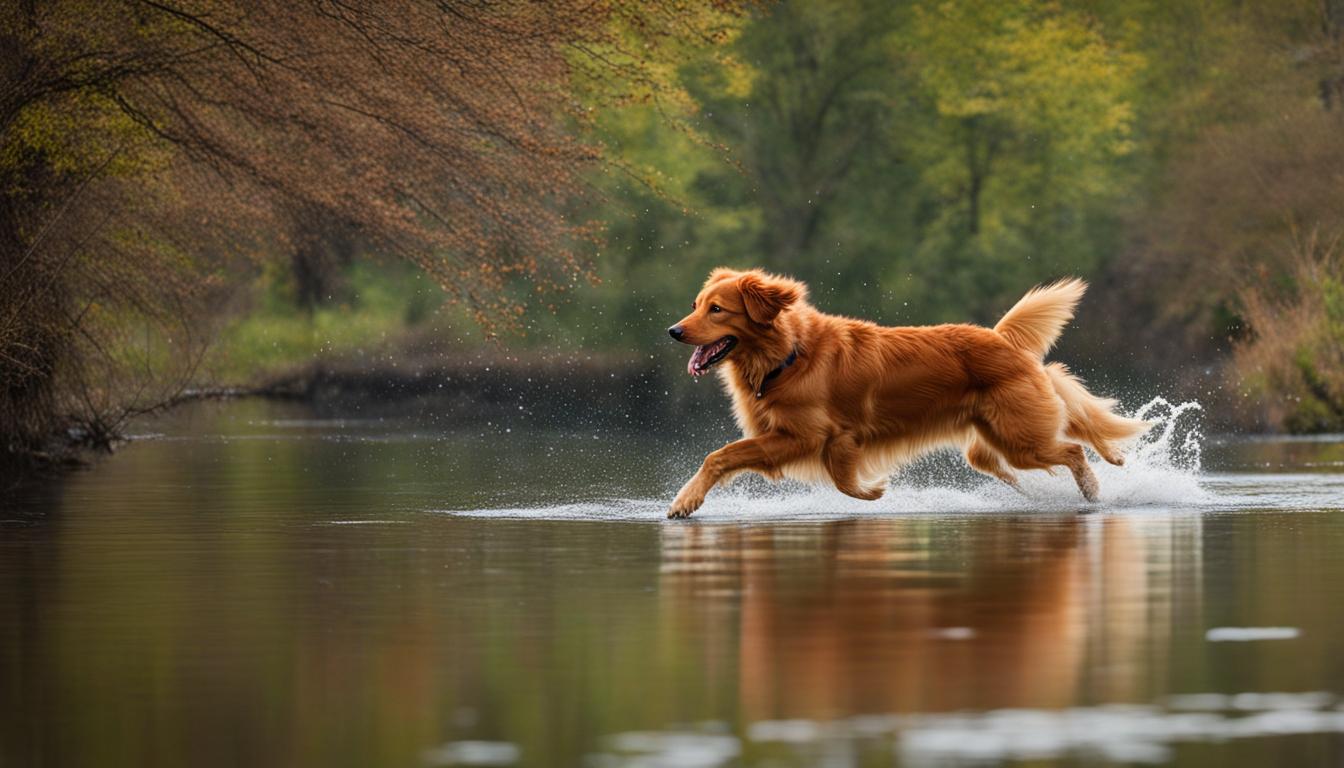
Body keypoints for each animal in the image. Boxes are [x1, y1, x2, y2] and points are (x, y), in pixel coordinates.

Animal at [666, 267, 1150, 519]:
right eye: (695, 305)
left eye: (717, 309)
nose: (673, 331)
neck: (787, 355)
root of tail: (1001, 339)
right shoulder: (820, 441)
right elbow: (841, 481)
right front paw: (873, 490)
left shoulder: (804, 436)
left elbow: (721, 455)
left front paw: (684, 501)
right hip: (1000, 438)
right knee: (1044, 443)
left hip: (1022, 437)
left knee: (1072, 449)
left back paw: (1094, 490)